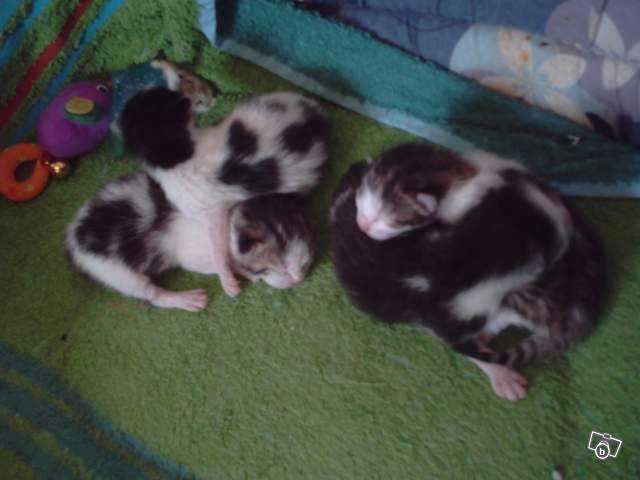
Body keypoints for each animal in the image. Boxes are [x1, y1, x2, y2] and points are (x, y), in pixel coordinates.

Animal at [65, 172, 313, 311]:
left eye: (304, 262)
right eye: (279, 267)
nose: (298, 277)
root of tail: (71, 237)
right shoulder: (193, 252)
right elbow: (219, 262)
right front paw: (232, 279)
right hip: (109, 269)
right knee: (148, 293)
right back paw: (186, 299)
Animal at [121, 87, 329, 297]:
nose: (189, 98)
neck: (179, 157)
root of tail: (316, 115)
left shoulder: (212, 212)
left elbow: (218, 245)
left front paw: (227, 279)